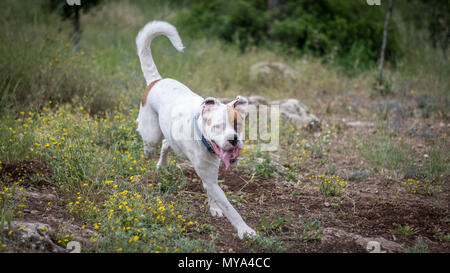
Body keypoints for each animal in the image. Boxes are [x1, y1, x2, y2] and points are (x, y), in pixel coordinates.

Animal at [134, 21, 256, 238]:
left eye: (237, 125)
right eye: (217, 126)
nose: (233, 139)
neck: (203, 139)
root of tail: (156, 81)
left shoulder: (211, 174)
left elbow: (212, 193)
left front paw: (214, 208)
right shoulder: (208, 175)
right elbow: (230, 208)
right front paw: (244, 229)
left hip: (170, 138)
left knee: (166, 144)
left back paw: (162, 165)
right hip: (151, 135)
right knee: (151, 145)